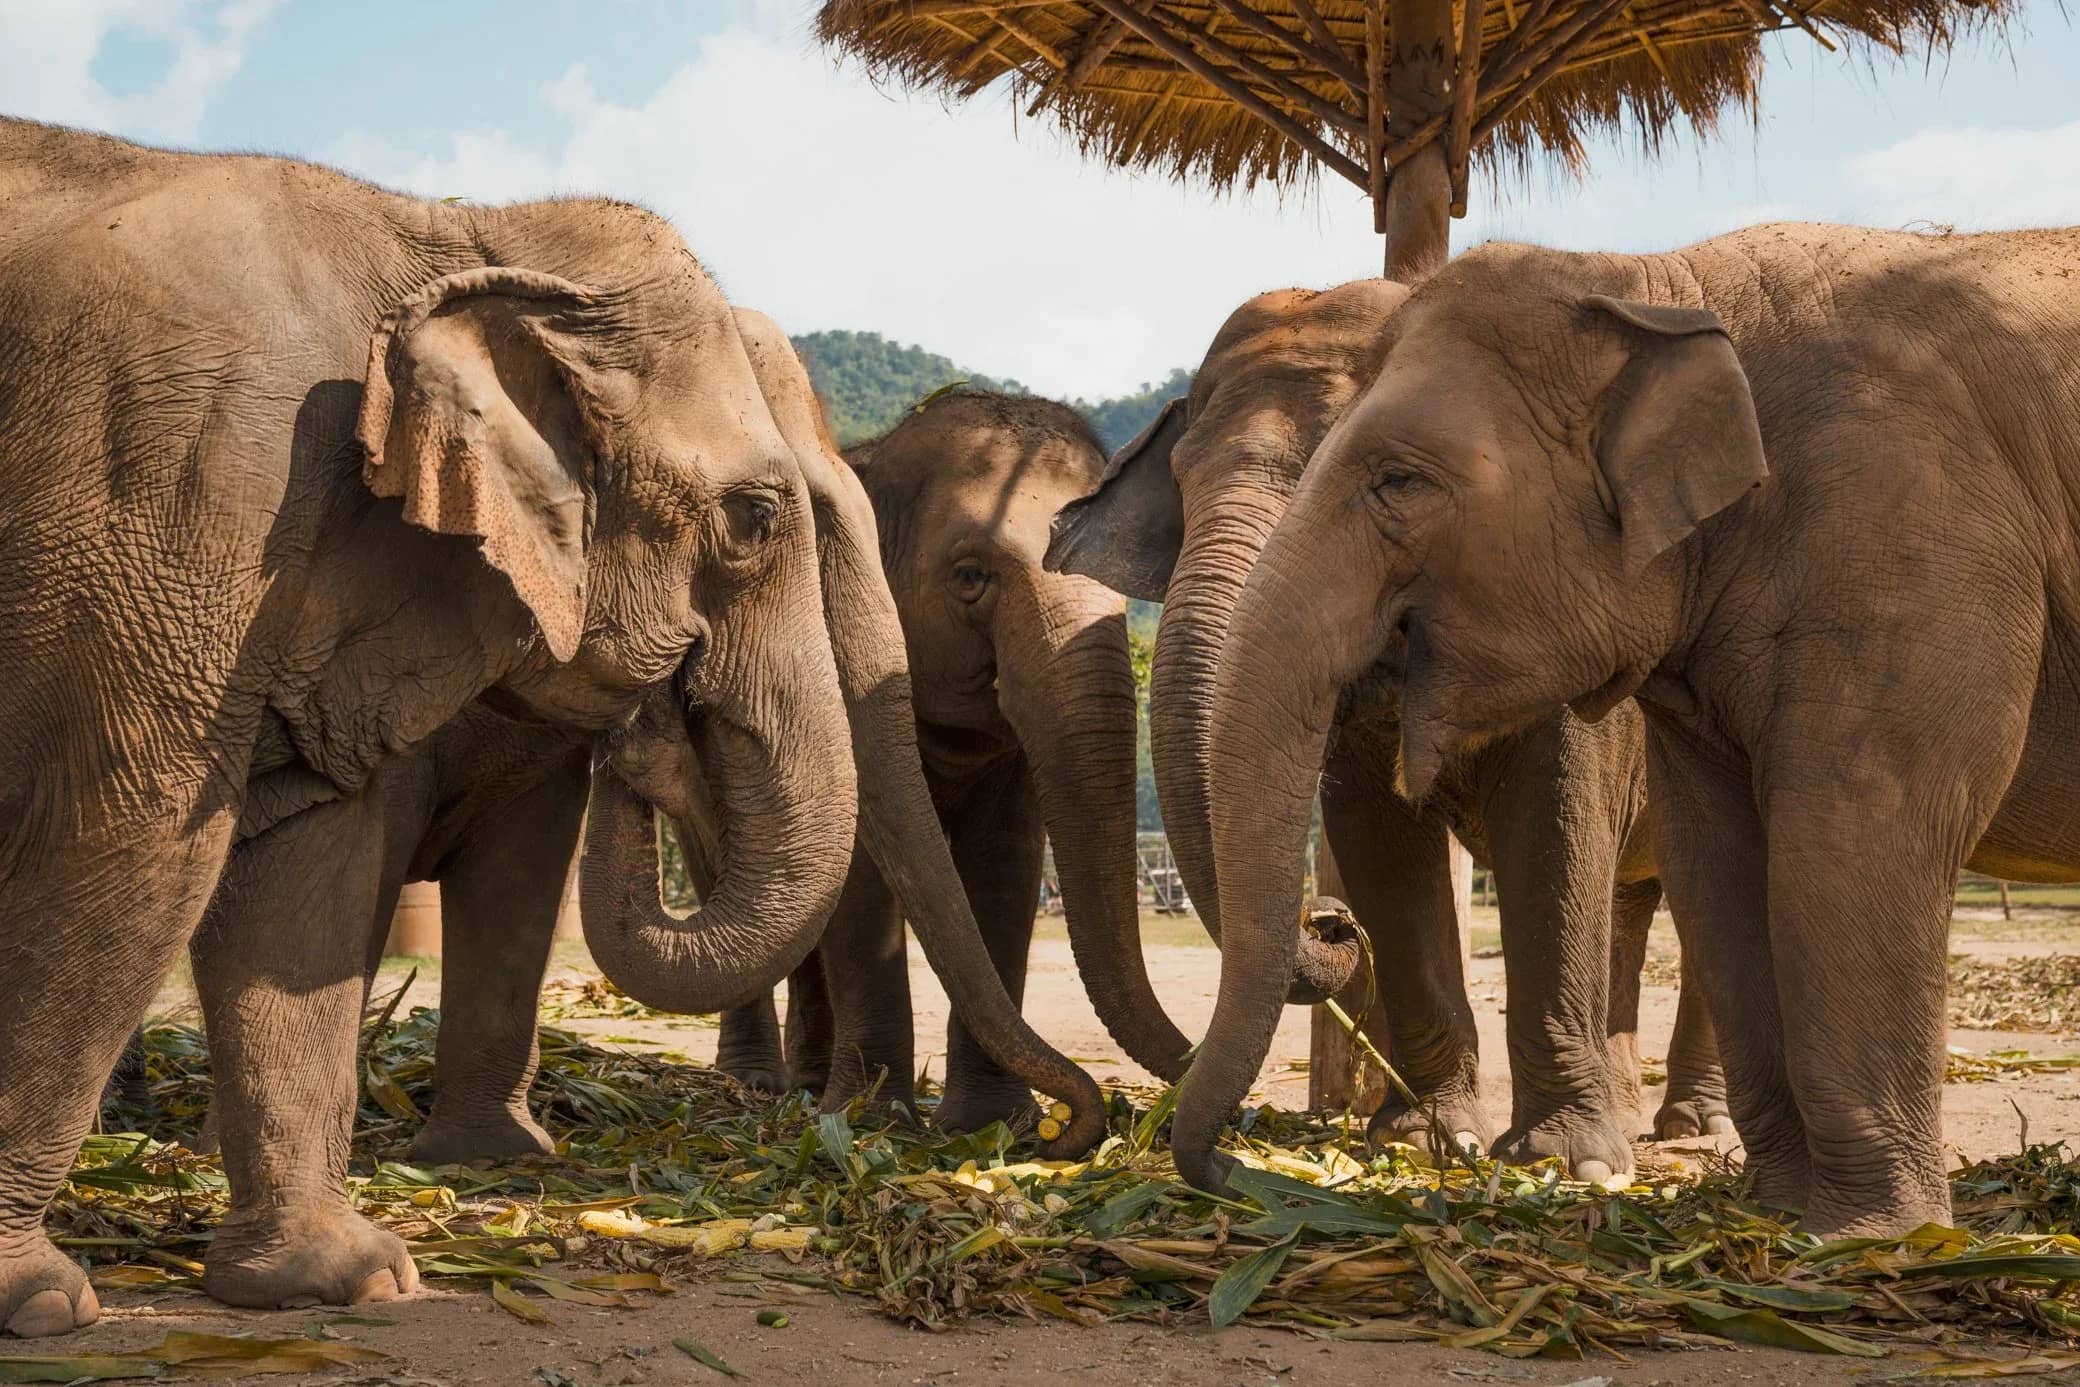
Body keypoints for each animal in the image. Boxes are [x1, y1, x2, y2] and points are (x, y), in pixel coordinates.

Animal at [0, 118, 857, 1337]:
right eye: (753, 517)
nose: (652, 729)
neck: (453, 231)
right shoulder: (181, 488)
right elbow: (134, 844)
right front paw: (38, 1305)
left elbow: (305, 872)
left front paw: (347, 1280)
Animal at [715, 388, 1188, 1130]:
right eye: (970, 577)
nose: (1069, 1124)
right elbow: (860, 869)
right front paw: (871, 1120)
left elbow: (1005, 861)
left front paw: (992, 1124)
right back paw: (771, 1087)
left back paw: (810, 1084)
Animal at [1047, 281, 1727, 1191]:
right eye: (1182, 482)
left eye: (1378, 481)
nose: (1330, 919)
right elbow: (1380, 843)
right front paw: (1423, 1142)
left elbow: (1554, 827)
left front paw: (1565, 1161)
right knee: (1629, 893)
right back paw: (1627, 1104)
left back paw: (1694, 1126)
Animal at [1188, 221, 2080, 1237]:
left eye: (1398, 479)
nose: (1231, 1170)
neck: (1654, 283)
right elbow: (1717, 854)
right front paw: (1777, 1214)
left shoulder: (1908, 529)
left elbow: (1859, 826)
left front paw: (1874, 1237)